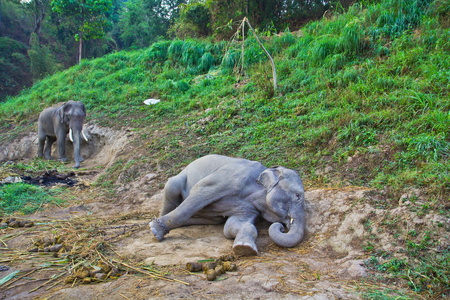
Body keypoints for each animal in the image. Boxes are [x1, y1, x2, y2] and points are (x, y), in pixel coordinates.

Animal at [149, 155, 308, 255]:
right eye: (298, 195)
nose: (282, 227)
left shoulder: (248, 207)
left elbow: (231, 226)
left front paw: (245, 248)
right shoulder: (229, 178)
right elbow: (200, 192)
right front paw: (155, 230)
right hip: (178, 179)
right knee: (172, 189)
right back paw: (156, 225)